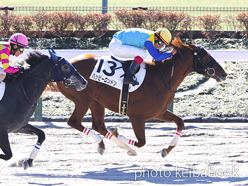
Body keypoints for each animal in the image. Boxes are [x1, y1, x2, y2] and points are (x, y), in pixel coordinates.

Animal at [57, 37, 228, 157]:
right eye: (206, 58)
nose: (223, 74)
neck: (162, 78)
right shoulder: (136, 116)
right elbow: (141, 142)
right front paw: (119, 134)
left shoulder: (158, 112)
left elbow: (180, 123)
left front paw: (167, 149)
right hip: (83, 99)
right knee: (74, 122)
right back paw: (109, 143)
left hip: (96, 101)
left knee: (98, 125)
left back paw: (113, 145)